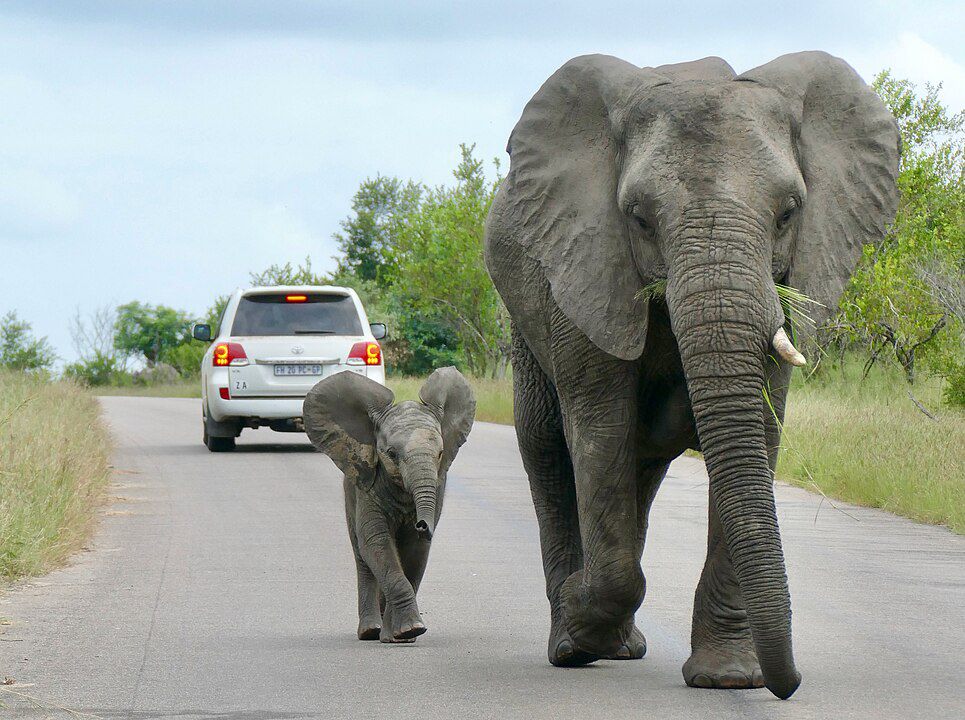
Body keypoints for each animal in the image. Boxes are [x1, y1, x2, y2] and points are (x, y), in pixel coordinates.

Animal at [302, 368, 474, 644]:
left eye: (440, 454)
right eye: (391, 454)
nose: (422, 524)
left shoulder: (439, 483)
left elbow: (414, 552)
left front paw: (404, 635)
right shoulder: (366, 489)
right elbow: (376, 542)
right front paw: (410, 629)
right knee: (362, 556)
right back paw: (370, 631)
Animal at [486, 52, 900, 704]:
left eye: (789, 213)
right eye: (637, 218)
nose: (793, 684)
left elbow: (757, 434)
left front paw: (728, 680)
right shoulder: (584, 267)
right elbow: (598, 432)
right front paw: (581, 614)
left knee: (642, 464)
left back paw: (619, 646)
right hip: (524, 314)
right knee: (548, 447)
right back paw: (572, 645)